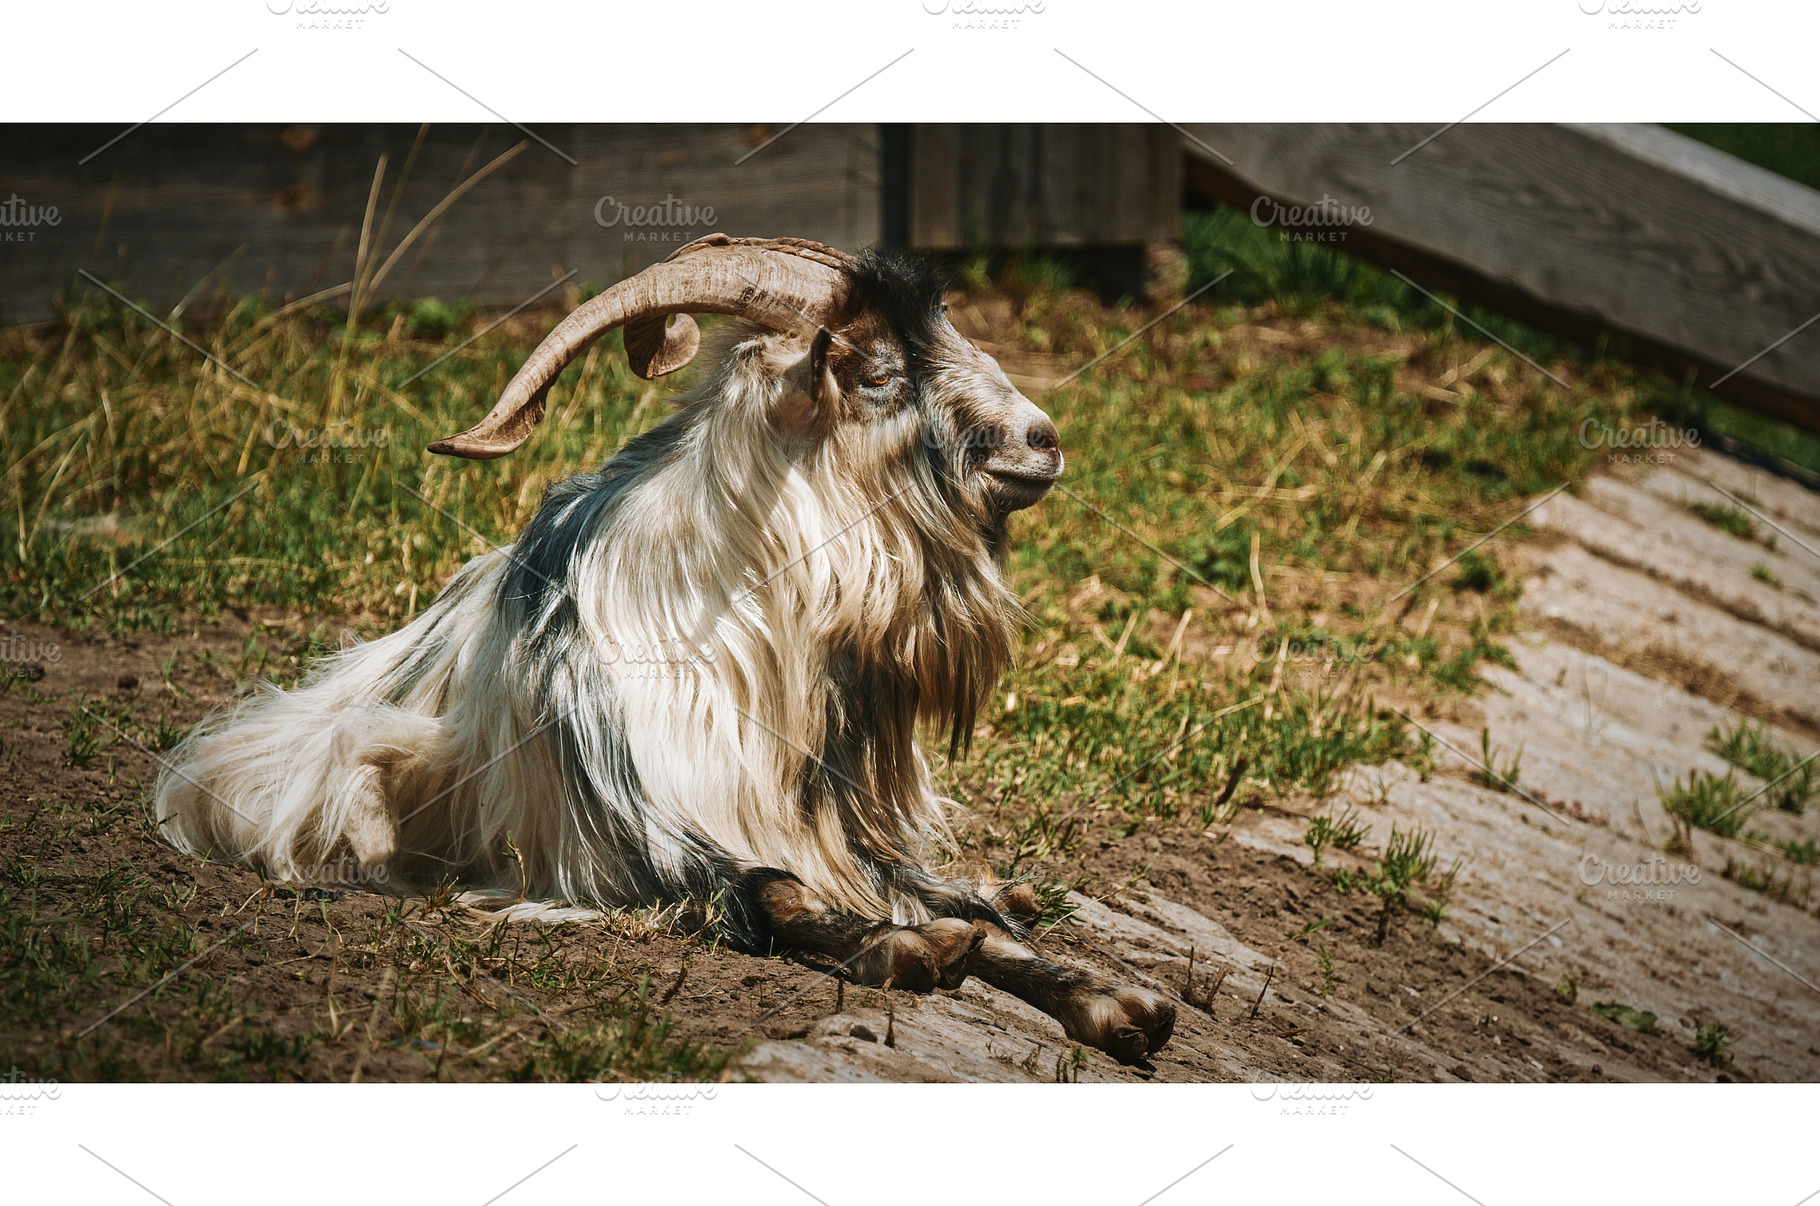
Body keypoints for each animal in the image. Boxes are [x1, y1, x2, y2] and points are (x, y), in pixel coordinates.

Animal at [156, 235, 1175, 1064]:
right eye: (881, 371)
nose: (1042, 439)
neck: (740, 643)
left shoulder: (845, 831)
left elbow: (971, 923)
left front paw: (1119, 1000)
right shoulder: (641, 837)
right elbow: (776, 896)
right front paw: (906, 949)